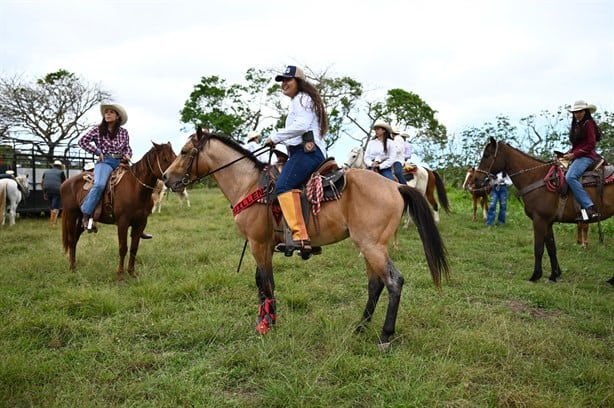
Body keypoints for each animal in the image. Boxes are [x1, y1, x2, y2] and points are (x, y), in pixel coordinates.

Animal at [61, 142, 177, 278]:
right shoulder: (123, 222)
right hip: (71, 215)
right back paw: (72, 268)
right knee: (71, 240)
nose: (176, 179)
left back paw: (73, 265)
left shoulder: (141, 222)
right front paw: (120, 275)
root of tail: (66, 183)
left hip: (80, 218)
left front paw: (132, 272)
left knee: (74, 239)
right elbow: (123, 248)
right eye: (165, 159)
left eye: (176, 157)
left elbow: (134, 248)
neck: (135, 188)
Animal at [164, 129, 452, 350]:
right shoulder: (263, 245)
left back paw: (384, 335)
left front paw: (268, 325)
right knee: (376, 284)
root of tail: (396, 186)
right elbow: (260, 283)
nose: (166, 177)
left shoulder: (259, 244)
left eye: (186, 151)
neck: (248, 185)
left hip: (372, 246)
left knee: (393, 282)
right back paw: (360, 327)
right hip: (370, 246)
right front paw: (264, 320)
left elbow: (266, 283)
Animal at [474, 135, 612, 282]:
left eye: (487, 155)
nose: (476, 179)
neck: (537, 178)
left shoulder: (539, 220)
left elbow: (539, 248)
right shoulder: (548, 222)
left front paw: (535, 275)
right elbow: (551, 248)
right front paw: (554, 274)